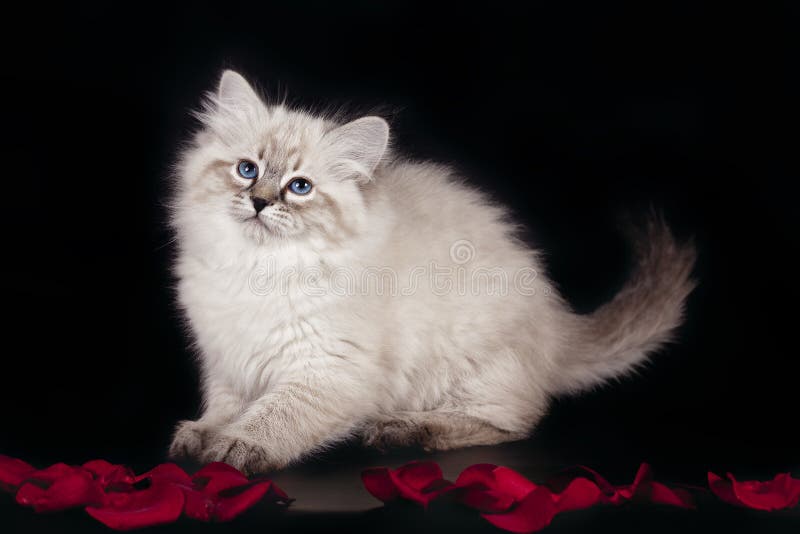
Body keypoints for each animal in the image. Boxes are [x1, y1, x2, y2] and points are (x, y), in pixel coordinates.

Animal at [167, 70, 692, 474]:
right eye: (247, 170)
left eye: (300, 187)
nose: (259, 202)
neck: (256, 268)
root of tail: (556, 324)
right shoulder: (227, 360)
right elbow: (224, 408)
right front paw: (201, 434)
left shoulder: (329, 371)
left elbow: (273, 416)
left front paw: (237, 446)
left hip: (468, 366)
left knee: (513, 421)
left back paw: (404, 429)